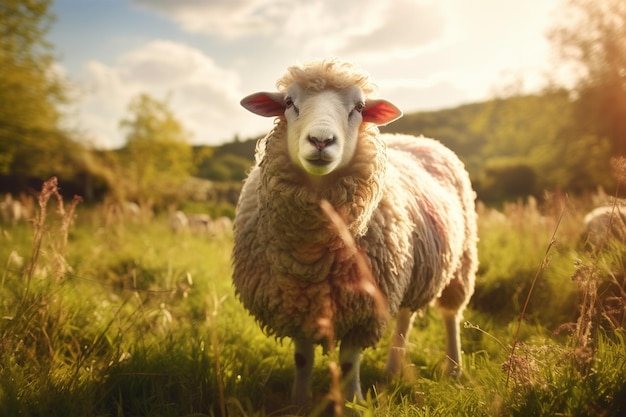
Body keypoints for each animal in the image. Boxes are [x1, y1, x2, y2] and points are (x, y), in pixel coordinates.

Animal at [230, 57, 478, 404]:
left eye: (359, 107)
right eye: (289, 102)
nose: (321, 141)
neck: (311, 255)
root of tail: (419, 138)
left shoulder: (365, 307)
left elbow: (349, 362)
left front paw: (353, 402)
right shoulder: (298, 304)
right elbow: (303, 358)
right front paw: (300, 402)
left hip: (461, 260)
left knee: (451, 315)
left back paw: (454, 369)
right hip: (411, 268)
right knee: (406, 317)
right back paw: (392, 369)